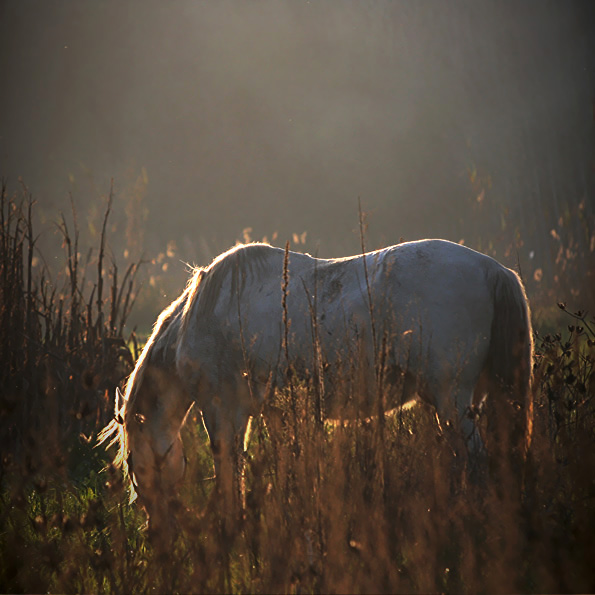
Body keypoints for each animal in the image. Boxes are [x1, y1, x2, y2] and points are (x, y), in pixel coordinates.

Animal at [98, 240, 536, 544]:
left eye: (133, 465)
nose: (155, 534)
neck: (206, 316)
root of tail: (494, 270)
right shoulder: (275, 413)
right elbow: (288, 466)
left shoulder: (223, 410)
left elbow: (229, 468)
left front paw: (232, 528)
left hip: (453, 400)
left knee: (477, 461)